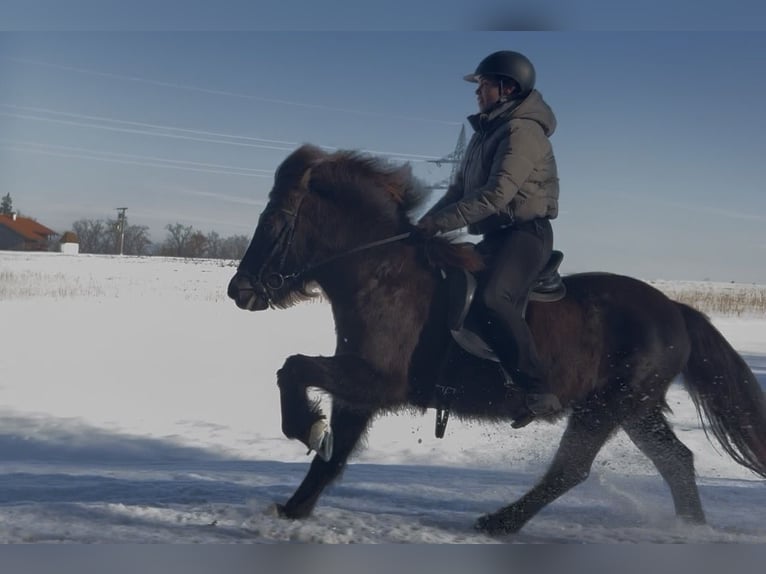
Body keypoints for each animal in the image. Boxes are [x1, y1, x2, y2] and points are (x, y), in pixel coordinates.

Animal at [227, 143, 766, 535]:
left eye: (274, 219)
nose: (240, 290)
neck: (383, 273)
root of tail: (675, 310)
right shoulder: (359, 390)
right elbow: (331, 456)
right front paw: (295, 504)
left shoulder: (374, 380)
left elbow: (293, 367)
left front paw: (305, 427)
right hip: (635, 408)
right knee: (676, 461)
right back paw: (692, 528)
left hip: (607, 406)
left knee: (572, 470)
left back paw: (500, 522)